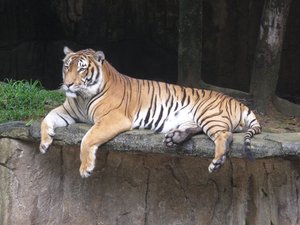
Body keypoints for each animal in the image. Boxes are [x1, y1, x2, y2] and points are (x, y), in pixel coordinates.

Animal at [39, 46, 260, 178]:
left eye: (82, 69)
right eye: (67, 67)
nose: (68, 84)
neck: (82, 97)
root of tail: (239, 102)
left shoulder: (113, 118)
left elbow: (88, 138)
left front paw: (86, 168)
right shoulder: (67, 111)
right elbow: (46, 118)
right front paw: (44, 143)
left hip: (208, 114)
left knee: (225, 135)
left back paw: (217, 161)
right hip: (196, 118)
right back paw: (174, 137)